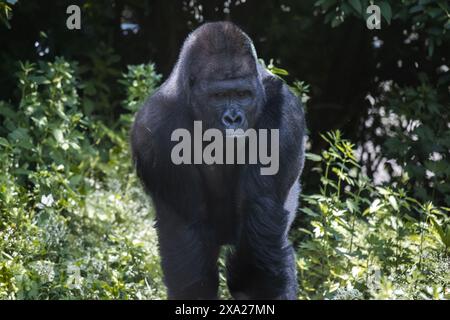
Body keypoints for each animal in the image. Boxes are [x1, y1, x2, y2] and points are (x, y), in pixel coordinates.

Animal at [131, 21, 306, 300]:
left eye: (242, 94)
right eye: (218, 97)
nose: (233, 118)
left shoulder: (284, 110)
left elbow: (260, 215)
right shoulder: (155, 125)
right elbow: (186, 228)